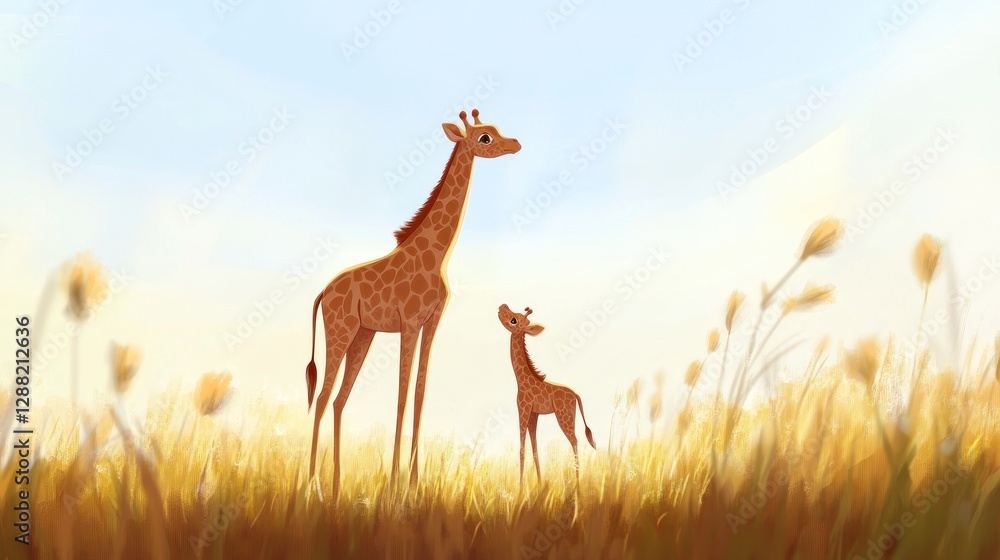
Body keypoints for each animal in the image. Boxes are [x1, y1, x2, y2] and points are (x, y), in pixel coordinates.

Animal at [305, 109, 520, 495]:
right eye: (485, 137)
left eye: (495, 131)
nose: (516, 143)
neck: (436, 256)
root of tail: (323, 293)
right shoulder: (408, 323)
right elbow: (402, 397)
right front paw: (394, 486)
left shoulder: (431, 323)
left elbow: (420, 395)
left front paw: (415, 484)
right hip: (340, 331)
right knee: (323, 397)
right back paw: (312, 484)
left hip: (363, 335)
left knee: (340, 400)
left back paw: (337, 484)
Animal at [497, 304, 596, 485]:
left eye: (514, 320)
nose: (502, 306)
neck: (521, 380)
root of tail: (576, 395)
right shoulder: (533, 415)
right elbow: (535, 449)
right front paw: (540, 485)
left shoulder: (523, 410)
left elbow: (522, 450)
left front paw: (521, 489)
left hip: (564, 417)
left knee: (575, 441)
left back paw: (577, 485)